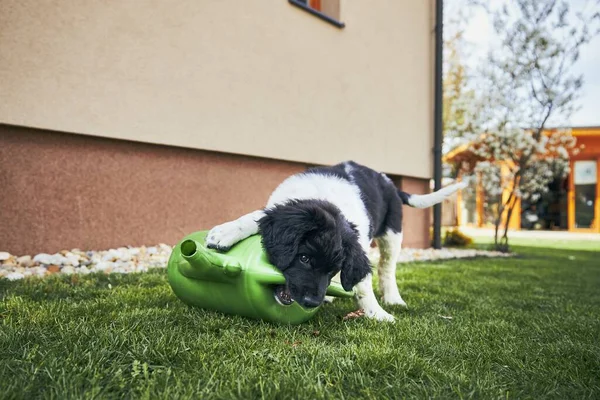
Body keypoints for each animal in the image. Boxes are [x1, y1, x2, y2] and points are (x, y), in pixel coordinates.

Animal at [209, 161, 466, 320]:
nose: (312, 302)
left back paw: (392, 298)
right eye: (304, 258)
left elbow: (363, 283)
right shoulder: (281, 207)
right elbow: (255, 216)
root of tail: (388, 181)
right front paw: (223, 233)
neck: (324, 199)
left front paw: (376, 312)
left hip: (393, 232)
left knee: (387, 267)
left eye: (334, 269)